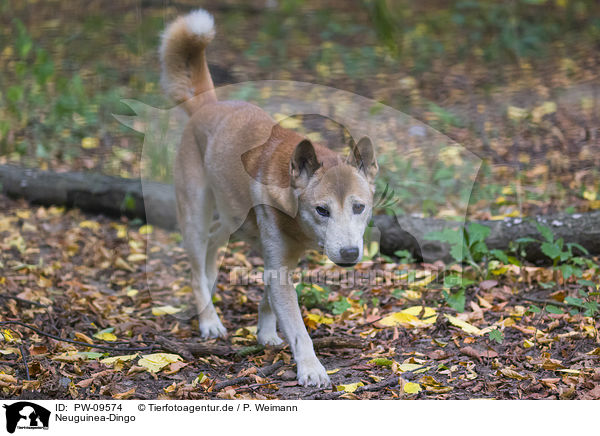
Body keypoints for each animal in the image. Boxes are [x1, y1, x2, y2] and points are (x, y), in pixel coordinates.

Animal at [159, 9, 376, 384]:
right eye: (322, 210)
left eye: (359, 207)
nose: (349, 253)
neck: (294, 217)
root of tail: (208, 106)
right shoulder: (278, 264)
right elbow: (299, 329)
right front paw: (311, 368)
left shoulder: (284, 261)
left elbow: (267, 301)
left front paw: (266, 334)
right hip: (195, 216)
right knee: (196, 271)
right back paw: (209, 320)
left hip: (234, 220)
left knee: (213, 246)